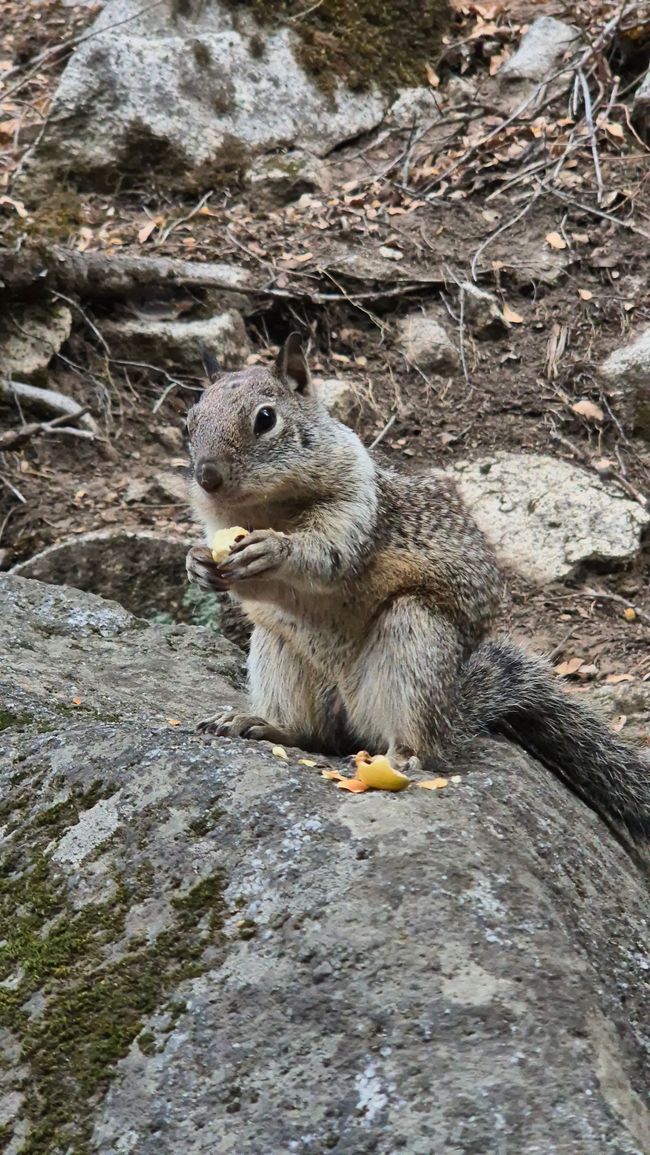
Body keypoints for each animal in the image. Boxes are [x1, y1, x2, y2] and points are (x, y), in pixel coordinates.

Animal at [184, 332, 650, 840]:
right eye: (190, 419)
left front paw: (275, 550)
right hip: (279, 647)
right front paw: (197, 564)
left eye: (265, 419)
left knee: (419, 742)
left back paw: (404, 753)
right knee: (310, 733)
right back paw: (261, 723)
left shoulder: (357, 507)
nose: (207, 476)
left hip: (415, 638)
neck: (268, 508)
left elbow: (329, 557)